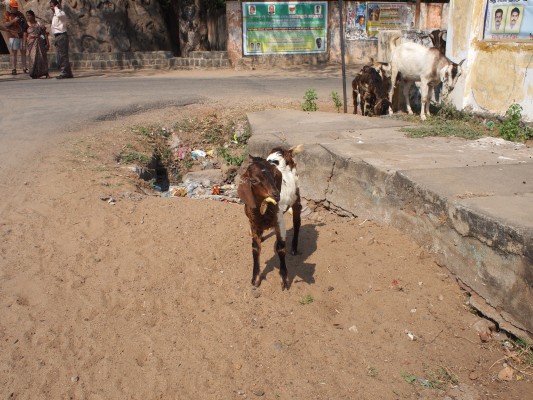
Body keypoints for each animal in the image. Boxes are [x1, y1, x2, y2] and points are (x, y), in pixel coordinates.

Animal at [238, 145, 304, 290]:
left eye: (275, 176)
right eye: (254, 180)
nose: (276, 195)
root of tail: (283, 151)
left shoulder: (279, 222)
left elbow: (280, 248)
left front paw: (284, 279)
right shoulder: (253, 223)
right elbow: (255, 248)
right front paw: (255, 278)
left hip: (297, 195)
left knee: (297, 222)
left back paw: (294, 248)